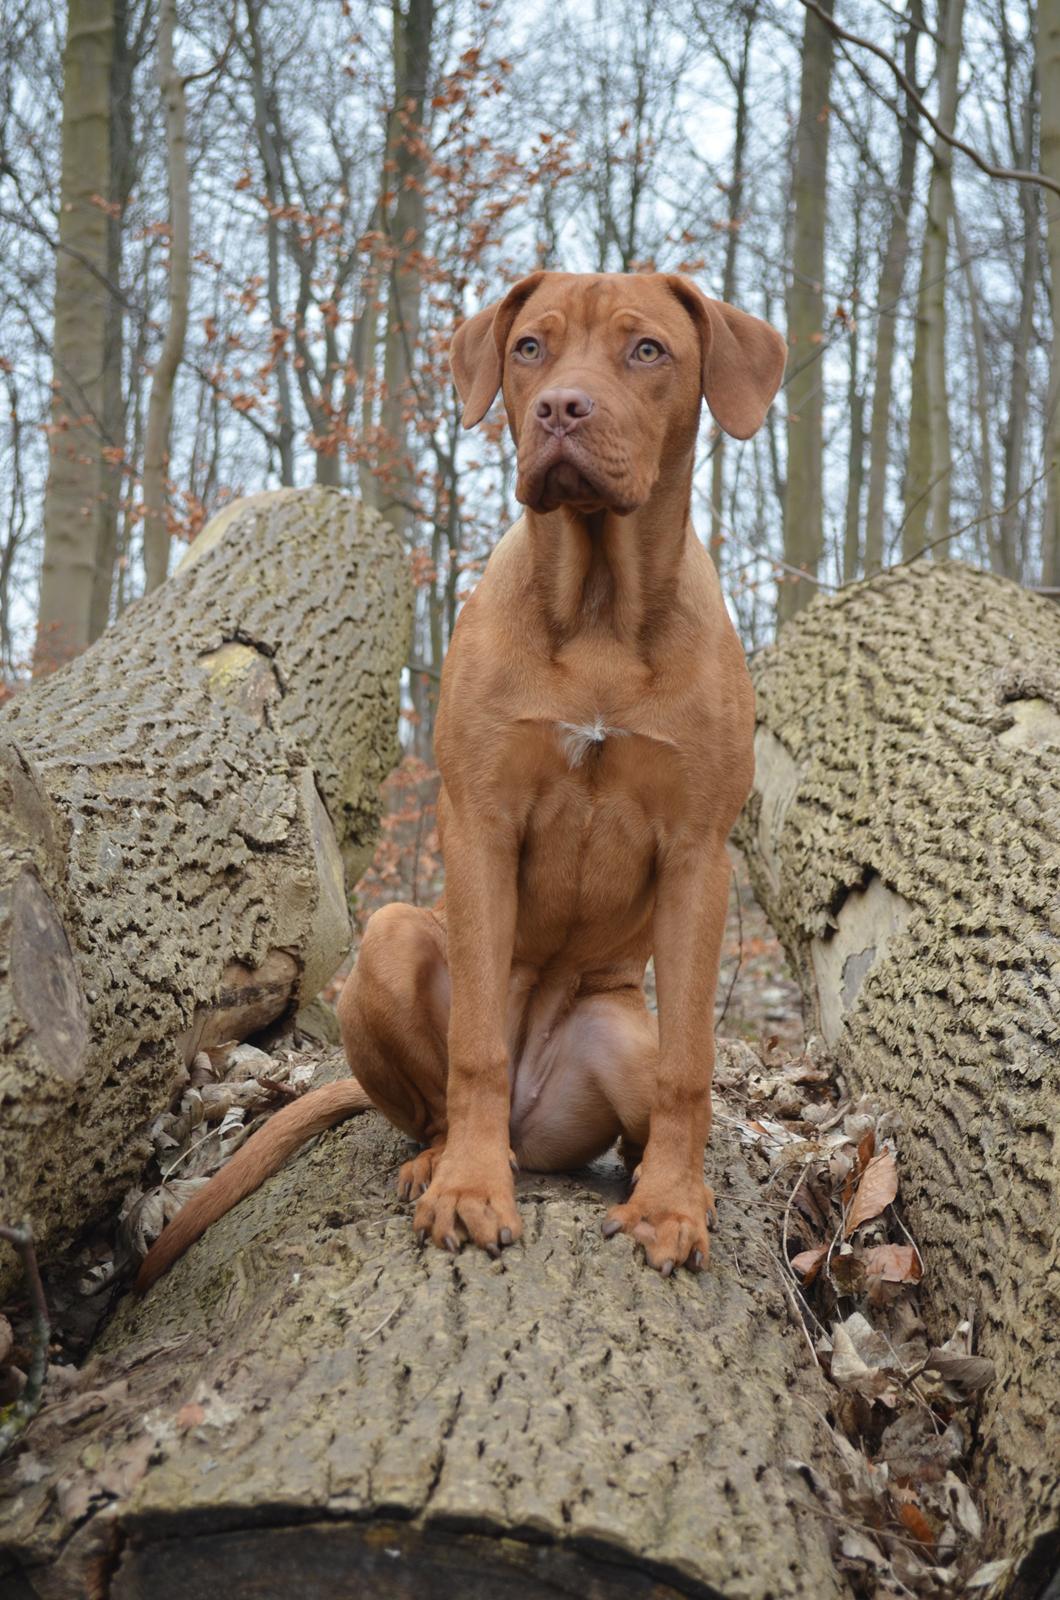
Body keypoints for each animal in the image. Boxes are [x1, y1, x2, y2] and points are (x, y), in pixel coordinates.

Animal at [139, 272, 787, 1286]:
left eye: (648, 351)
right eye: (529, 348)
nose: (562, 409)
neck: (599, 608)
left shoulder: (698, 853)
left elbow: (692, 1063)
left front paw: (674, 1205)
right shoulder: (479, 818)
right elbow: (476, 1043)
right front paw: (472, 1190)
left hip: (621, 1034)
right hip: (394, 939)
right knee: (436, 1099)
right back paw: (446, 1158)